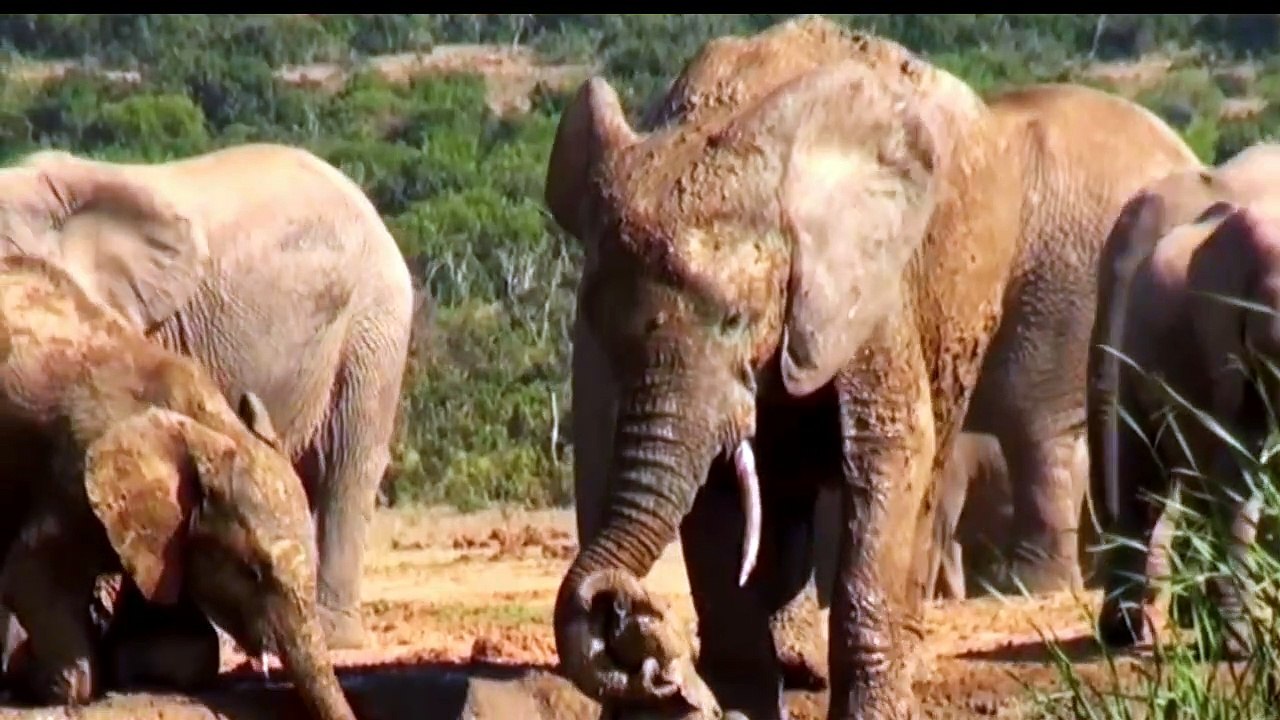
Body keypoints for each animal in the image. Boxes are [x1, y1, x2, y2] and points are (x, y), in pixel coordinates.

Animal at [553, 16, 1199, 720]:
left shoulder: (873, 286)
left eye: (736, 319)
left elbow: (889, 454)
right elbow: (720, 498)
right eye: (600, 325)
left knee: (1003, 441)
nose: (626, 617)